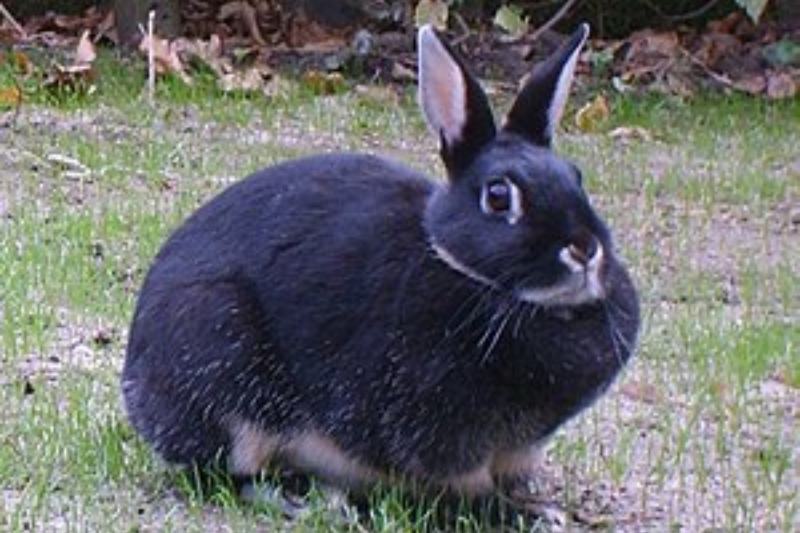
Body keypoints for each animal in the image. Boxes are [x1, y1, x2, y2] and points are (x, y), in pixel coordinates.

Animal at [121, 23, 640, 502]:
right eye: (498, 196)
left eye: (576, 176)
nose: (584, 248)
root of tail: (134, 380)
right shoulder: (437, 428)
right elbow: (463, 481)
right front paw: (506, 512)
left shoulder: (520, 445)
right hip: (219, 353)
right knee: (225, 470)